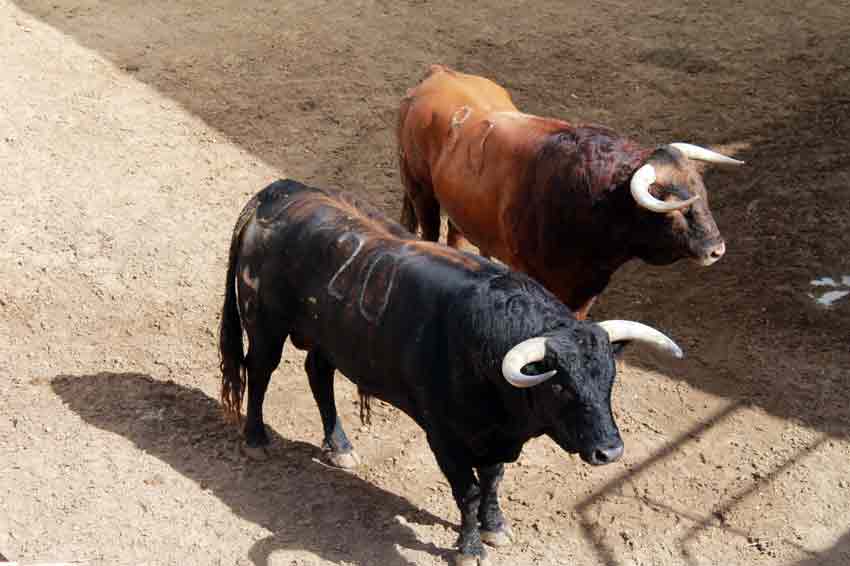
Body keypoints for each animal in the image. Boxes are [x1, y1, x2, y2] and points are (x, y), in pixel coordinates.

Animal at [222, 181, 680, 564]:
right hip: (265, 324)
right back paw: (256, 439)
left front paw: (495, 527)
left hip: (327, 337)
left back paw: (340, 446)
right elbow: (468, 490)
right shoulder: (444, 437)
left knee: (318, 374)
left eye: (609, 381)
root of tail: (278, 193)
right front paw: (470, 547)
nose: (610, 452)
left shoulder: (496, 437)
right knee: (258, 372)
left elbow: (492, 481)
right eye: (561, 387)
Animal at [398, 65, 744, 322]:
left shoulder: (586, 288)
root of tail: (438, 74)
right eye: (673, 207)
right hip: (420, 191)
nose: (717, 249)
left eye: (702, 193)